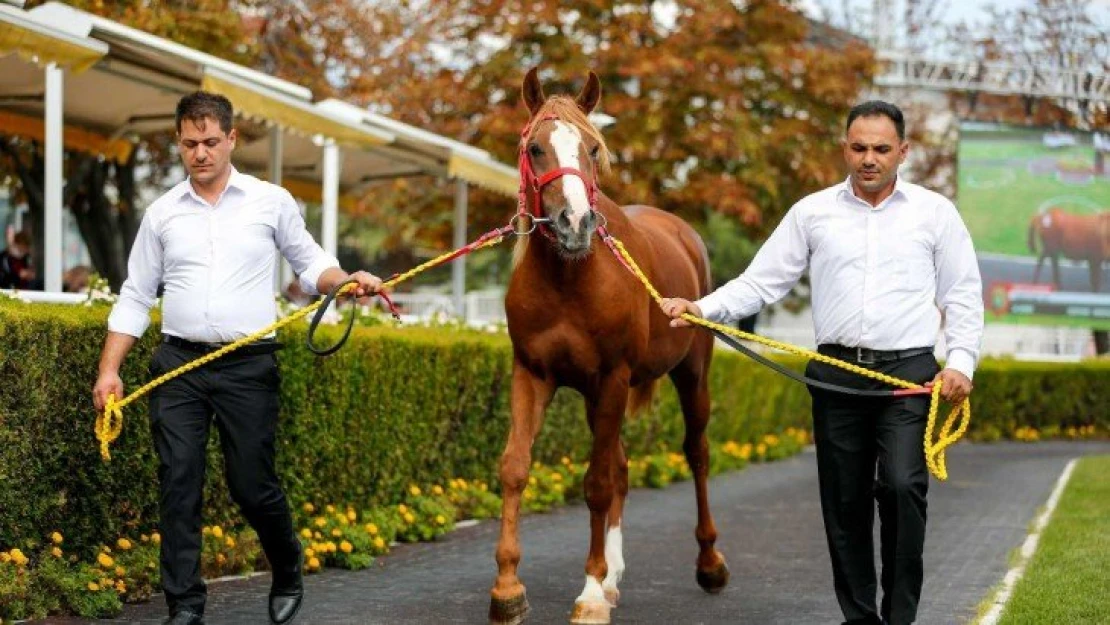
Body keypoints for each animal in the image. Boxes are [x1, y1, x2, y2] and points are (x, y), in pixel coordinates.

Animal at [490, 68, 732, 625]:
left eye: (593, 148)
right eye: (534, 148)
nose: (575, 223)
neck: (570, 278)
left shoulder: (614, 378)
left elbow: (597, 484)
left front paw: (590, 593)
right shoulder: (533, 375)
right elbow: (515, 468)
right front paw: (508, 588)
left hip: (691, 377)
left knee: (697, 454)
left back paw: (708, 562)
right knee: (621, 466)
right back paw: (615, 575)